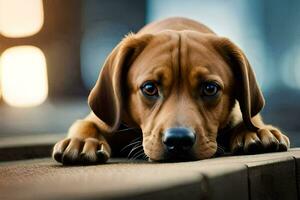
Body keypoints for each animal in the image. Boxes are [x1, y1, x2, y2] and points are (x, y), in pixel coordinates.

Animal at [52, 17, 290, 164]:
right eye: (149, 88)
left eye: (210, 88)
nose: (178, 141)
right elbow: (85, 124)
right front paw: (82, 142)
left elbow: (249, 118)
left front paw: (255, 131)